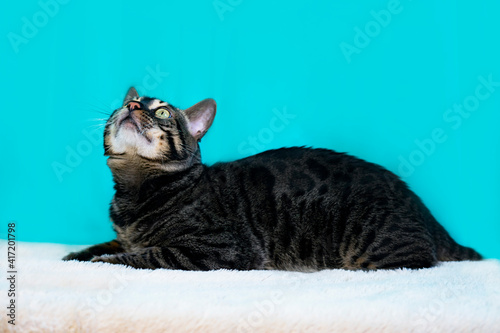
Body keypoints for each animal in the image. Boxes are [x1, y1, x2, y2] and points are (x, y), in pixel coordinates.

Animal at [61, 87, 480, 270]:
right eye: (121, 104)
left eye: (162, 112)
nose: (132, 105)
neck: (135, 193)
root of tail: (424, 210)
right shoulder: (123, 233)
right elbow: (106, 244)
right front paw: (76, 254)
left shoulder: (217, 249)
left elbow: (141, 255)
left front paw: (102, 261)